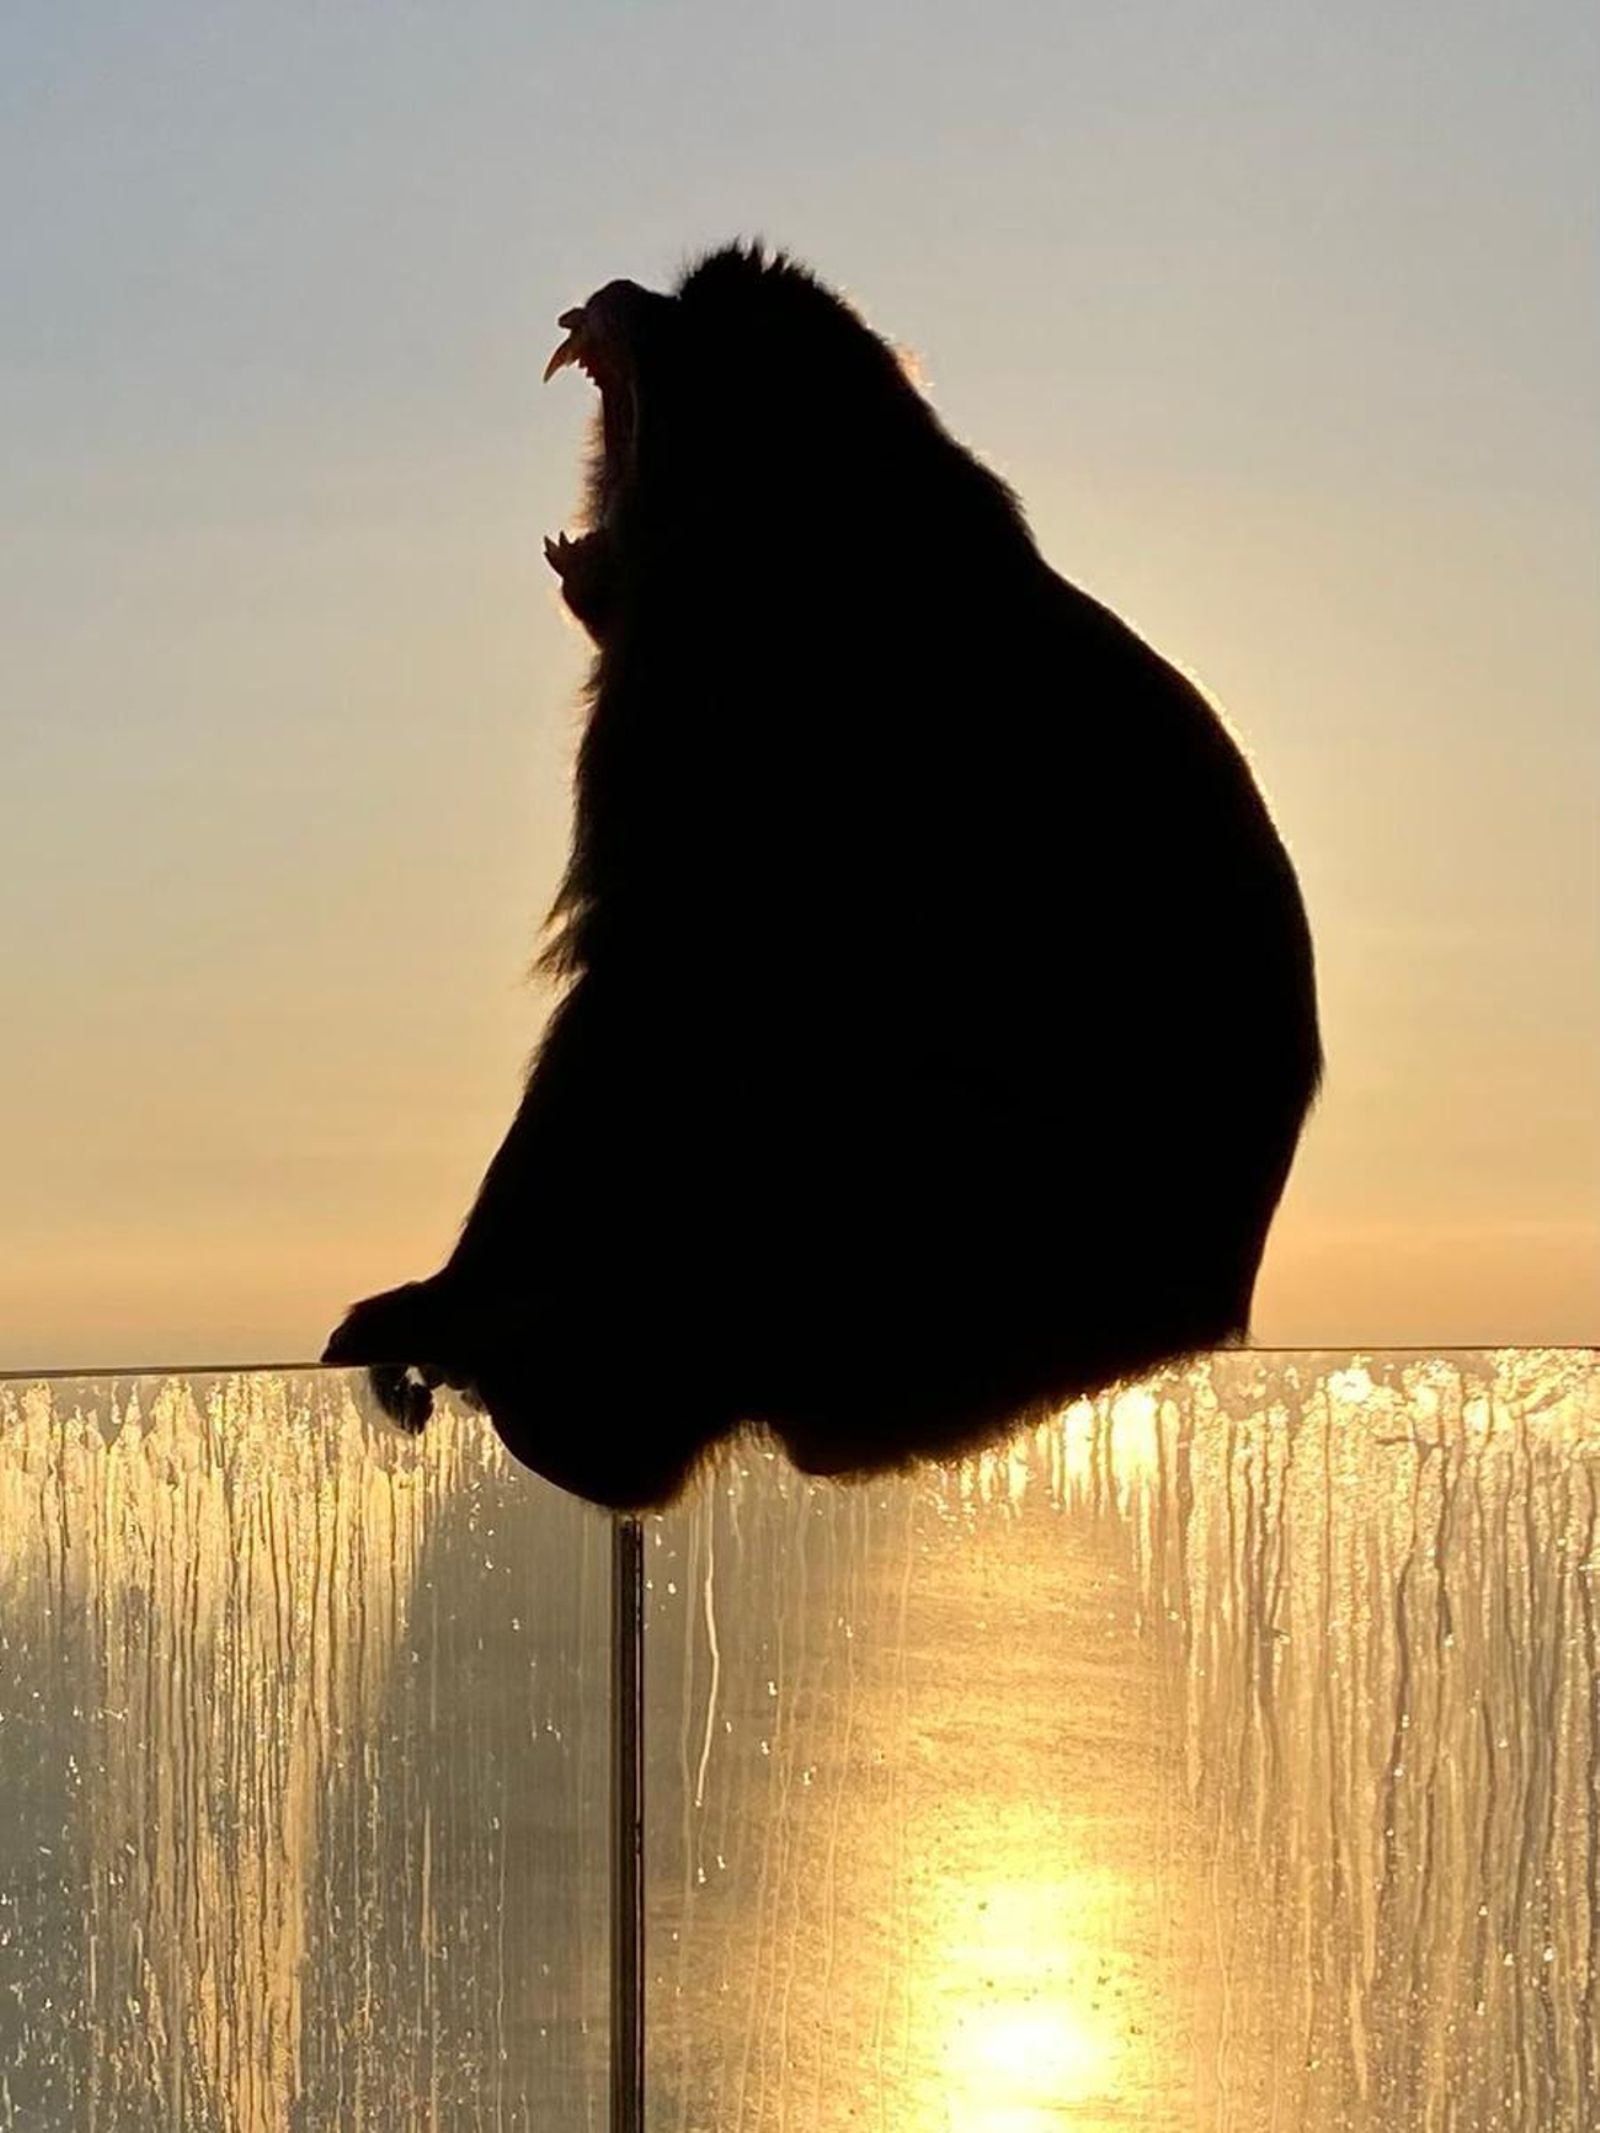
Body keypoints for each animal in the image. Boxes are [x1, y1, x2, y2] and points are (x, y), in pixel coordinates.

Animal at [324, 243, 1321, 1510]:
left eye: (688, 312)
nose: (620, 296)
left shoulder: (701, 695)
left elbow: (656, 986)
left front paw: (459, 1300)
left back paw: (595, 1417)